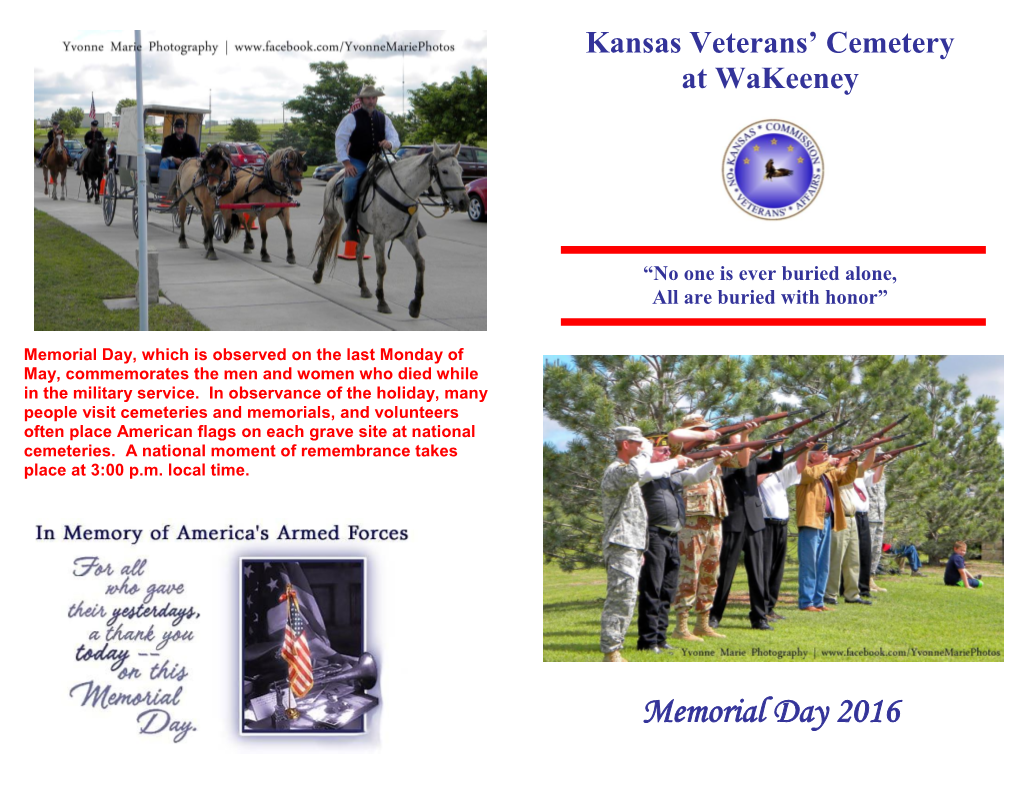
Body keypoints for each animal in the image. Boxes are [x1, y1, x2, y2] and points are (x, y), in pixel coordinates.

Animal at [310, 141, 469, 316]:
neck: (401, 193)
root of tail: (335, 176)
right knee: (325, 242)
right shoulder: (380, 238)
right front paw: (382, 301)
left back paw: (363, 287)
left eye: (461, 170)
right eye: (445, 171)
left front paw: (415, 305)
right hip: (332, 218)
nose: (464, 202)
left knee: (358, 253)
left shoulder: (409, 236)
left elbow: (420, 263)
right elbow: (381, 268)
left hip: (363, 230)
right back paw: (318, 274)